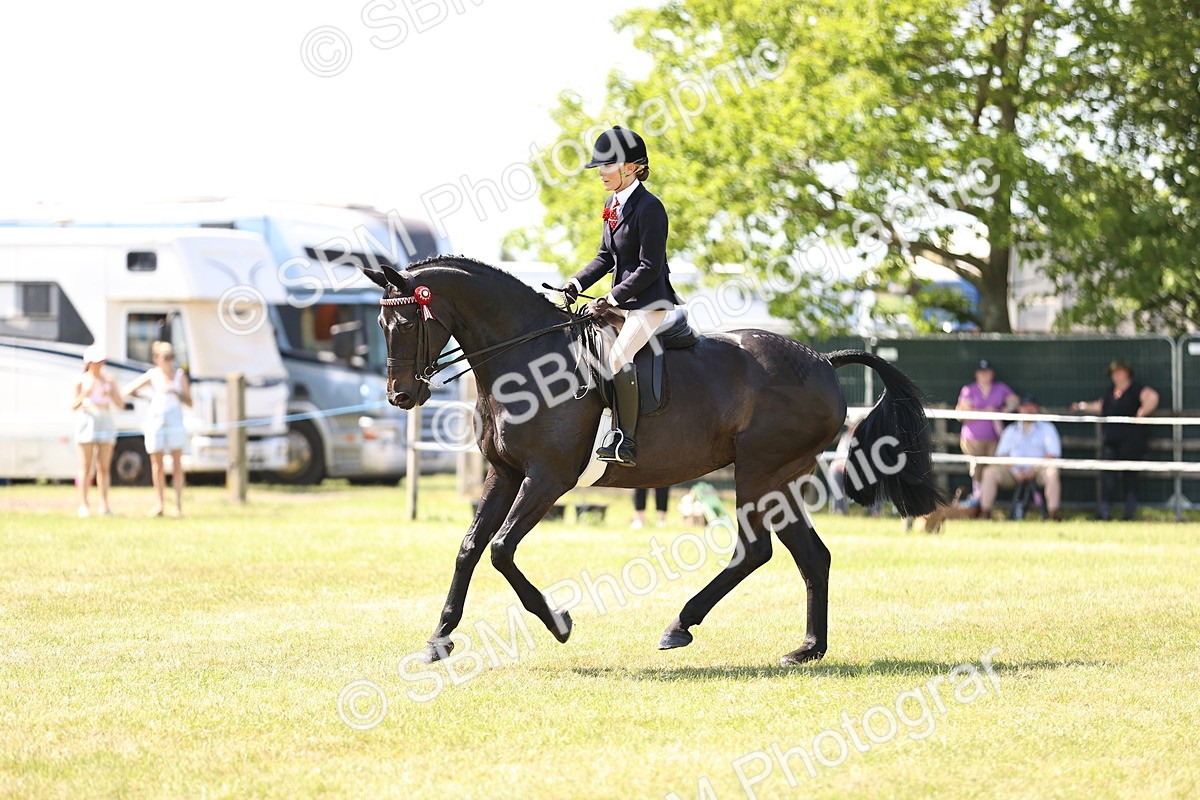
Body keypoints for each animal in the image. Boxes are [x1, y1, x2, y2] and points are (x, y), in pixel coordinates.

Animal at [363, 256, 944, 666]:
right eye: (381, 323)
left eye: (407, 322)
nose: (400, 396)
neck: (523, 357)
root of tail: (823, 359)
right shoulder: (504, 474)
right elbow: (469, 548)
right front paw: (438, 641)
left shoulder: (548, 477)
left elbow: (502, 551)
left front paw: (558, 622)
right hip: (780, 479)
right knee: (811, 556)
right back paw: (806, 649)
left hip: (757, 472)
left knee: (754, 550)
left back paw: (680, 625)